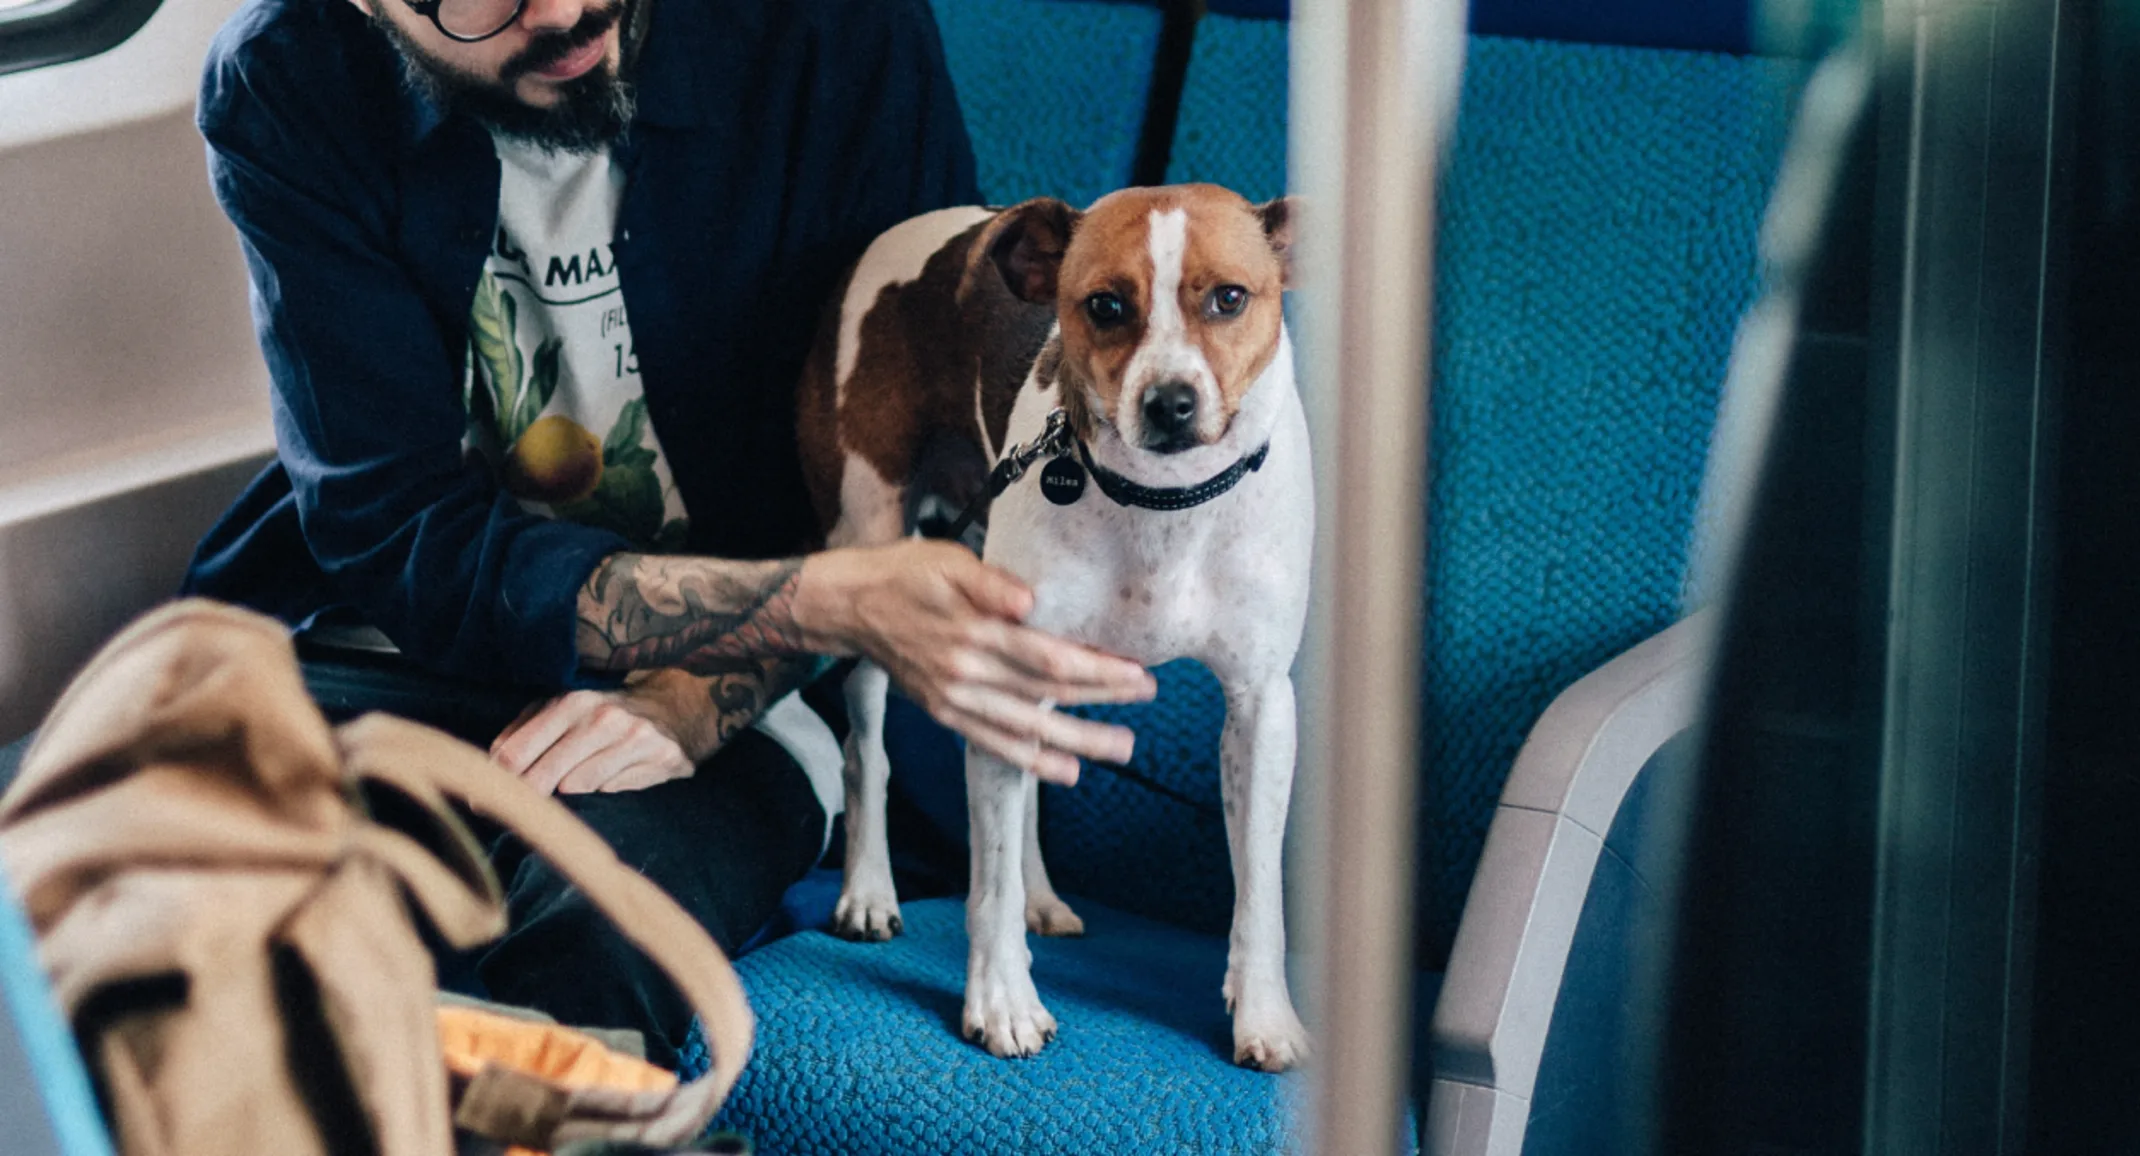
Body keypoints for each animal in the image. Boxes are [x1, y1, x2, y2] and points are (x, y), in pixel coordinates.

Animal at [800, 185, 1309, 1070]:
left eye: (1229, 298)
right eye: (1104, 305)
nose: (1170, 403)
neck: (1164, 501)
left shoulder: (1261, 707)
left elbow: (1258, 890)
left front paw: (1264, 1014)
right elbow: (989, 880)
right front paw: (1003, 1002)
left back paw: (1041, 896)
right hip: (869, 554)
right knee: (868, 752)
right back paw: (867, 888)